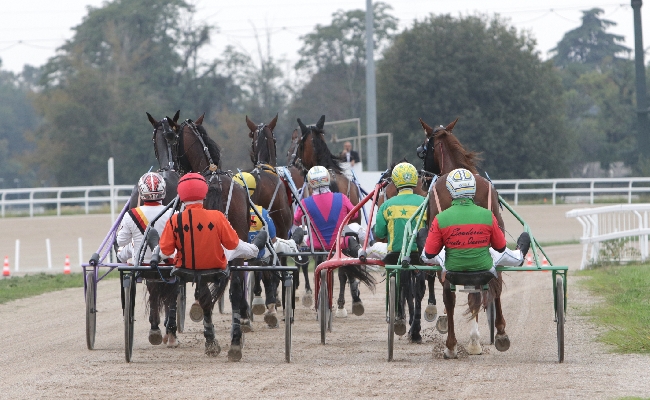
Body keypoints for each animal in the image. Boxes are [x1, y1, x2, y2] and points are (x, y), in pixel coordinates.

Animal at [418, 117, 508, 358]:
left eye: (423, 149)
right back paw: (498, 334)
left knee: (451, 295)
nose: (424, 179)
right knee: (493, 285)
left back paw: (451, 345)